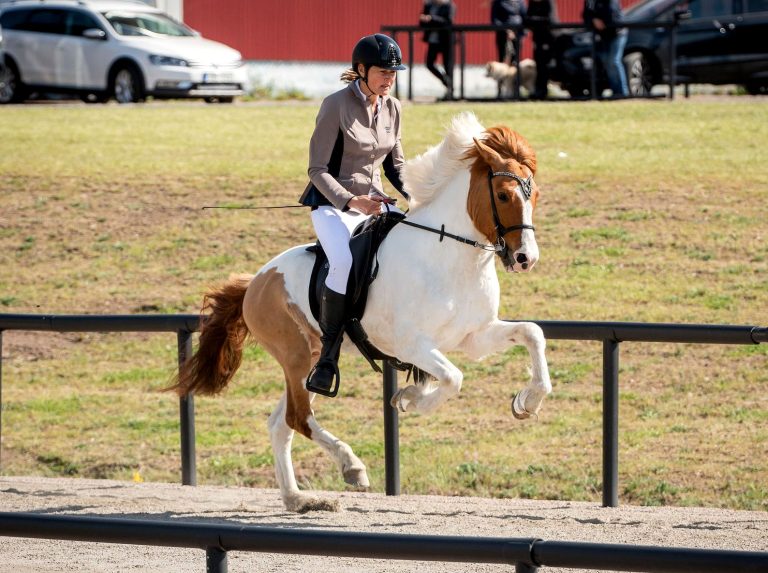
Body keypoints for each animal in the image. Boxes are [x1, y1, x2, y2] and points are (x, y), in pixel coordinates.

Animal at [172, 110, 552, 510]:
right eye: (504, 195)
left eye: (535, 196)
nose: (525, 258)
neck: (449, 255)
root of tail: (256, 282)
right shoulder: (412, 345)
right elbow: (452, 378)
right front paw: (412, 399)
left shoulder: (474, 337)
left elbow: (532, 333)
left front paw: (527, 401)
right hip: (294, 356)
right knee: (298, 417)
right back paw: (350, 467)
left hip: (311, 359)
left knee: (281, 424)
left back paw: (297, 498)